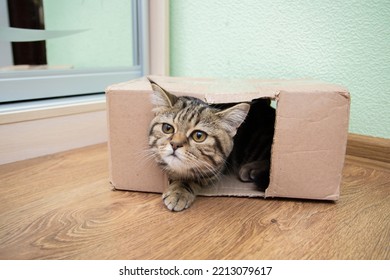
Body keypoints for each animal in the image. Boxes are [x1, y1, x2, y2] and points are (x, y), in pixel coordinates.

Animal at [147, 80, 274, 211]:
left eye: (199, 136)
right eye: (167, 128)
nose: (175, 144)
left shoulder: (215, 170)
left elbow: (193, 177)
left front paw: (179, 190)